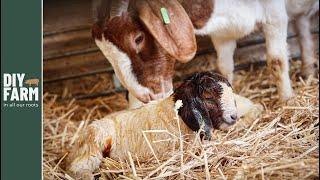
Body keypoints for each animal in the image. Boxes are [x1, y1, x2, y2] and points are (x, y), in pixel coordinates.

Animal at [92, 0, 318, 108]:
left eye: (138, 38)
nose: (144, 96)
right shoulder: (223, 32)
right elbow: (224, 68)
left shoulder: (274, 14)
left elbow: (277, 61)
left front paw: (287, 100)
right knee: (303, 26)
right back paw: (308, 70)